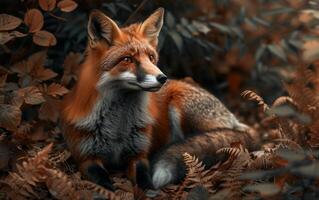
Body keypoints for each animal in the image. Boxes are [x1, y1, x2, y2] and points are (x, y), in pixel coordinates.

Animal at [62, 7, 250, 191]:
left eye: (151, 58)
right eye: (127, 59)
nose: (162, 78)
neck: (117, 129)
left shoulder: (139, 154)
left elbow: (144, 180)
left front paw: (149, 191)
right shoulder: (85, 158)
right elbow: (103, 181)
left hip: (182, 107)